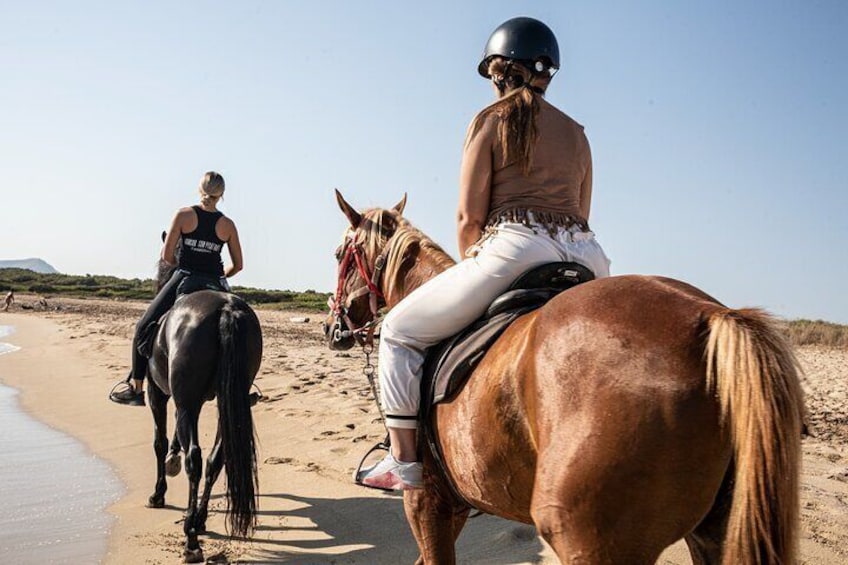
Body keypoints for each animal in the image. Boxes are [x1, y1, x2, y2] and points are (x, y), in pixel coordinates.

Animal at [144, 258, 262, 560]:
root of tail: (226, 310)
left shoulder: (158, 394)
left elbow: (159, 442)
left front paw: (158, 494)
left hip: (187, 401)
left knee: (195, 459)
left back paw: (191, 537)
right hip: (227, 403)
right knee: (215, 459)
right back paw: (200, 518)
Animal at [322, 192, 800, 560]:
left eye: (338, 255)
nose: (332, 328)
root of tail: (711, 315)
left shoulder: (426, 502)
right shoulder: (453, 507)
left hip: (588, 537)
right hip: (715, 531)